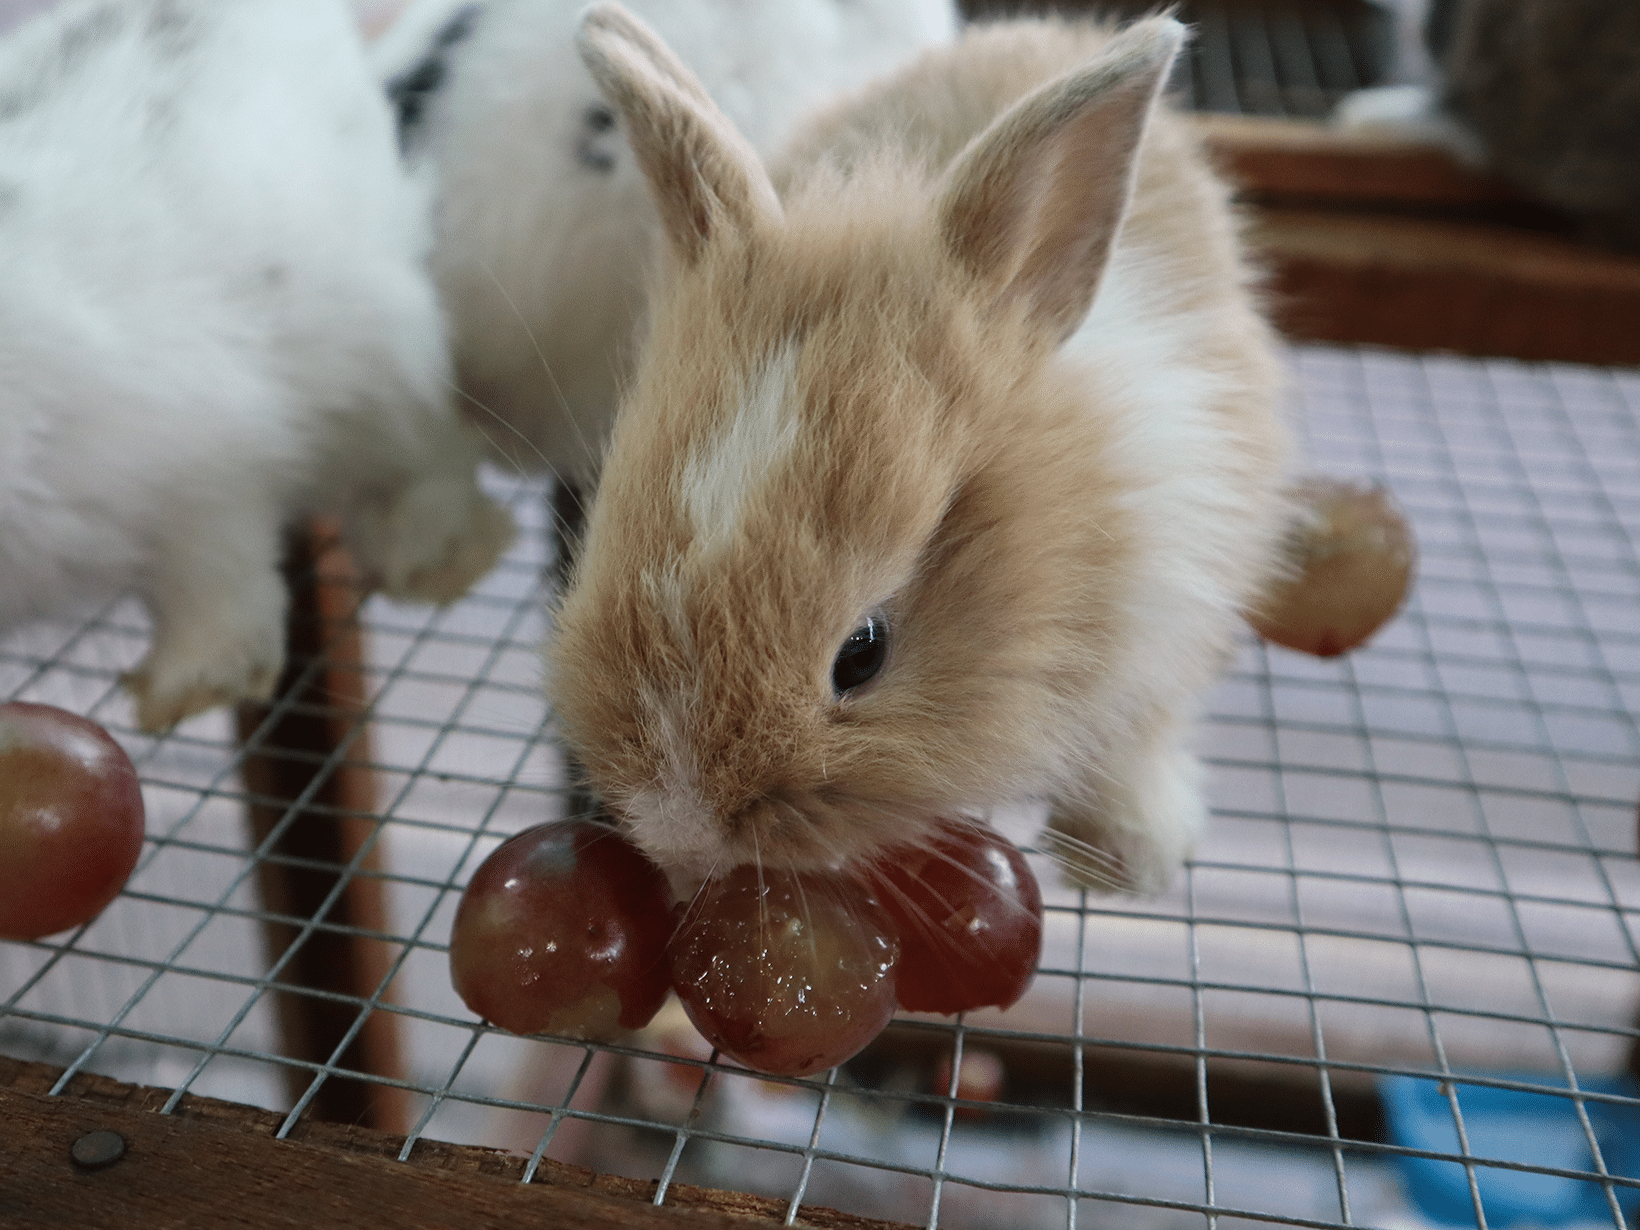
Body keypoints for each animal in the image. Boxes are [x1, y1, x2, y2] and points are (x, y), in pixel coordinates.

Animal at [0, 0, 511, 731]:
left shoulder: (199, 474)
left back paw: (429, 560)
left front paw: (187, 690)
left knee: (430, 447)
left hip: (378, 351)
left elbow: (218, 585)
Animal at [551, 4, 1292, 898]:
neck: (1069, 542)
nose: (681, 836)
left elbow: (1138, 739)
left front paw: (1132, 856)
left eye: (862, 654)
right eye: (596, 545)